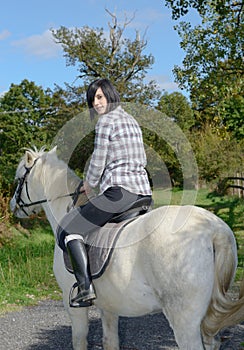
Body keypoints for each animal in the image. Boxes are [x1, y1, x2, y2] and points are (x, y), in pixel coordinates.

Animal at [10, 146, 244, 348]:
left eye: (19, 178)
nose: (13, 206)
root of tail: (214, 228)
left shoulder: (73, 307)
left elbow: (80, 340)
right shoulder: (109, 306)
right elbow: (110, 341)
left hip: (184, 321)